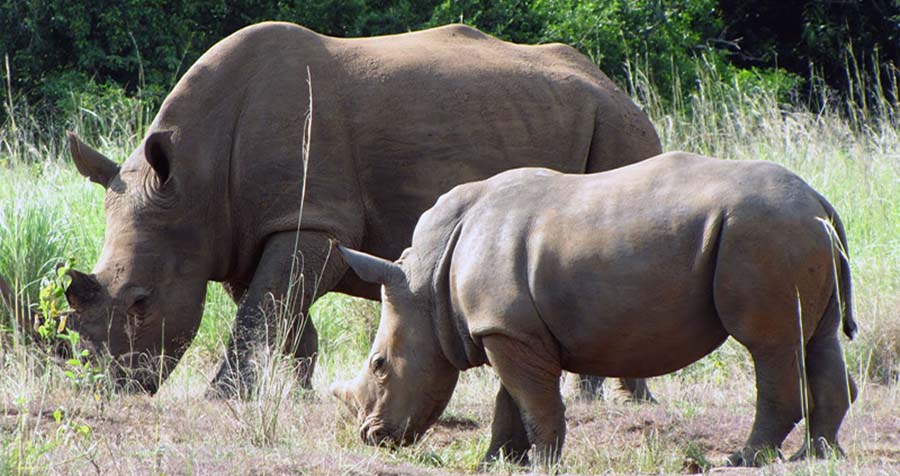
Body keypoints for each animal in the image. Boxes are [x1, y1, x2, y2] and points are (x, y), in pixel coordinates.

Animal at [61, 22, 661, 395]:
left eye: (141, 301)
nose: (107, 389)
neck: (192, 181)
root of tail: (619, 89)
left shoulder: (312, 218)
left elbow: (261, 310)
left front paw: (225, 396)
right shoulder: (239, 232)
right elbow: (280, 311)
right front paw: (295, 391)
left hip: (619, 128)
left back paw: (610, 400)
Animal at [331, 152, 858, 467]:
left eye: (379, 365)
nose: (371, 438)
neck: (426, 282)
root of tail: (819, 201)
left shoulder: (505, 328)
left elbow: (533, 400)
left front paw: (543, 464)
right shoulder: (509, 328)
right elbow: (511, 399)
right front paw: (495, 463)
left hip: (764, 232)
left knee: (769, 346)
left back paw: (740, 461)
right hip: (795, 231)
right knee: (819, 337)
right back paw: (817, 457)